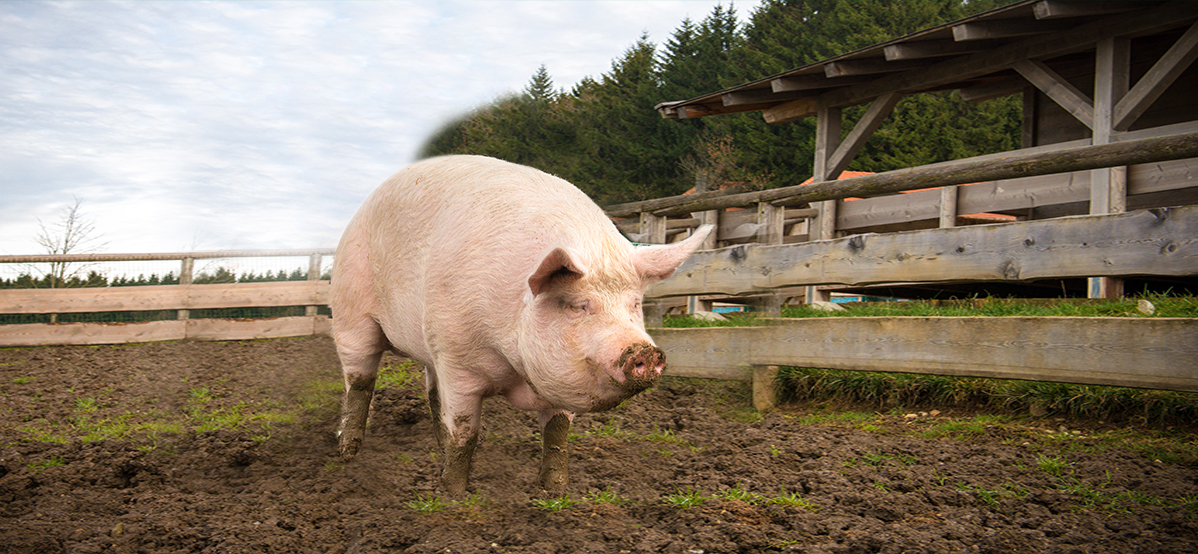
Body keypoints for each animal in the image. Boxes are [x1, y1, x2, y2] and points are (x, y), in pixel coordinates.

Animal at [330, 154, 709, 494]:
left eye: (635, 304)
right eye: (577, 306)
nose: (643, 350)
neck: (513, 368)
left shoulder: (559, 382)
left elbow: (557, 433)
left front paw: (556, 491)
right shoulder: (458, 359)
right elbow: (465, 433)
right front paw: (452, 495)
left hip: (429, 343)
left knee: (432, 391)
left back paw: (433, 448)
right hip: (351, 310)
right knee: (359, 382)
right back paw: (348, 456)